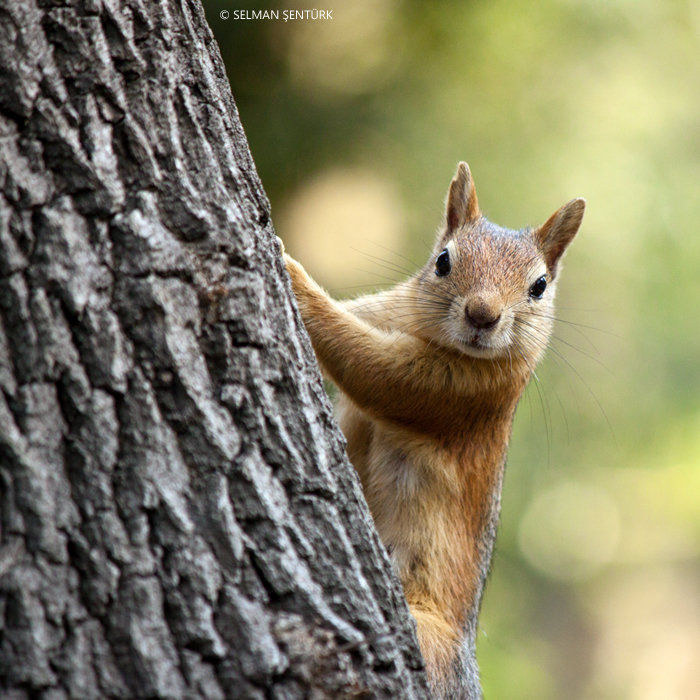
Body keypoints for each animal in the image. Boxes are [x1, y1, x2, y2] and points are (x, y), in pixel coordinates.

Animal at [278, 164, 584, 700]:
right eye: (443, 261)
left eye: (540, 286)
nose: (483, 315)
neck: (426, 330)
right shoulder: (379, 312)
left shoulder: (456, 395)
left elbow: (367, 368)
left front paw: (290, 269)